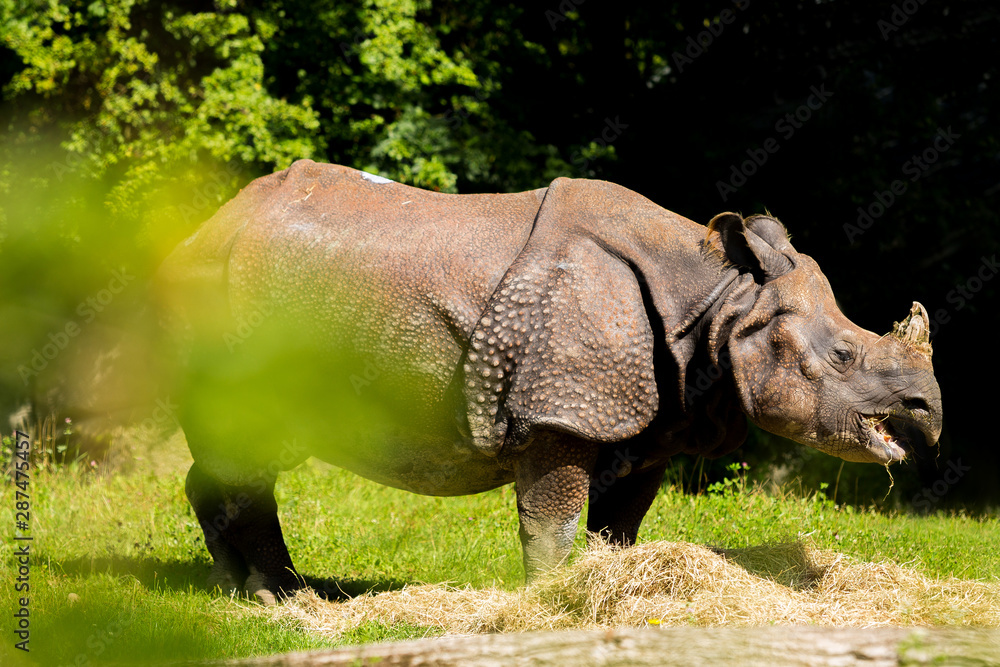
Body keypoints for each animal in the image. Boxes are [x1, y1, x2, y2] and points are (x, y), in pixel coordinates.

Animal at [156, 160, 943, 603]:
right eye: (843, 354)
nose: (929, 412)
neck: (719, 302)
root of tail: (204, 227)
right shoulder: (561, 414)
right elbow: (554, 521)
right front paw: (546, 603)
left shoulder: (652, 419)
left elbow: (619, 524)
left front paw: (608, 591)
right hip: (216, 292)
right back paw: (287, 601)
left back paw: (234, 591)